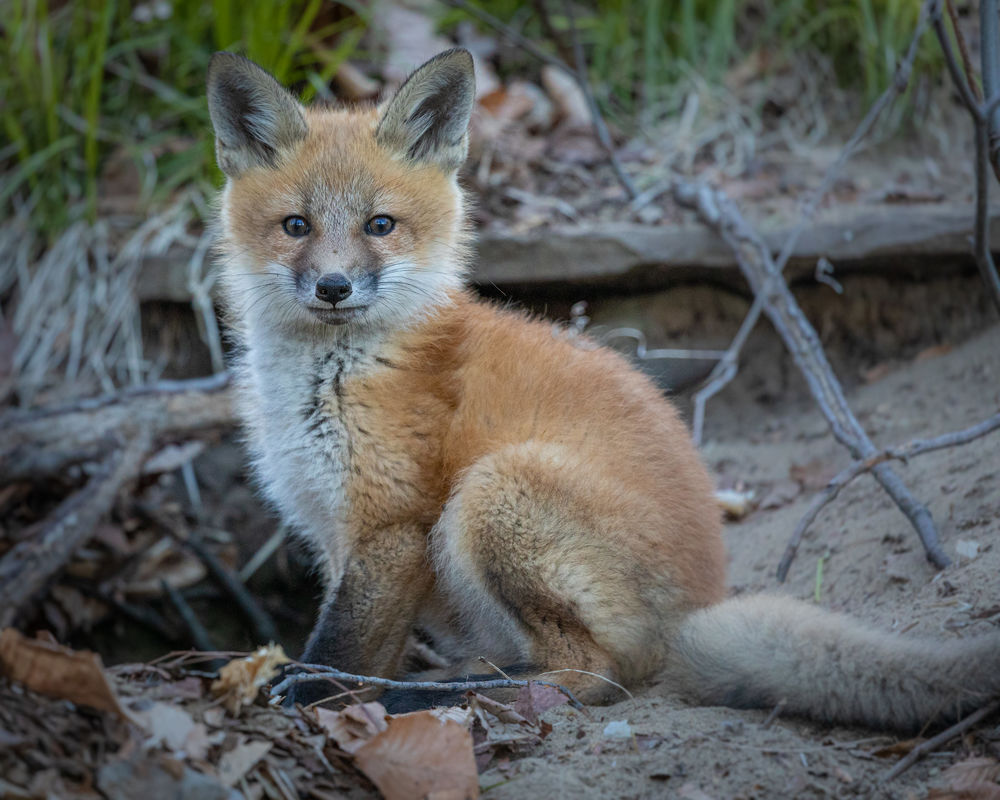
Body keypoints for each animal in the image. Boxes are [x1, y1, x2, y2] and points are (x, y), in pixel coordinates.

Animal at [206, 48, 1000, 730]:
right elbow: (354, 639)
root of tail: (696, 610)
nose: (334, 287)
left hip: (495, 491)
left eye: (380, 225)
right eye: (296, 226)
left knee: (592, 675)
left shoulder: (390, 524)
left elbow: (340, 646)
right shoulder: (335, 531)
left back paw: (440, 698)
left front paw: (308, 695)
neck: (325, 380)